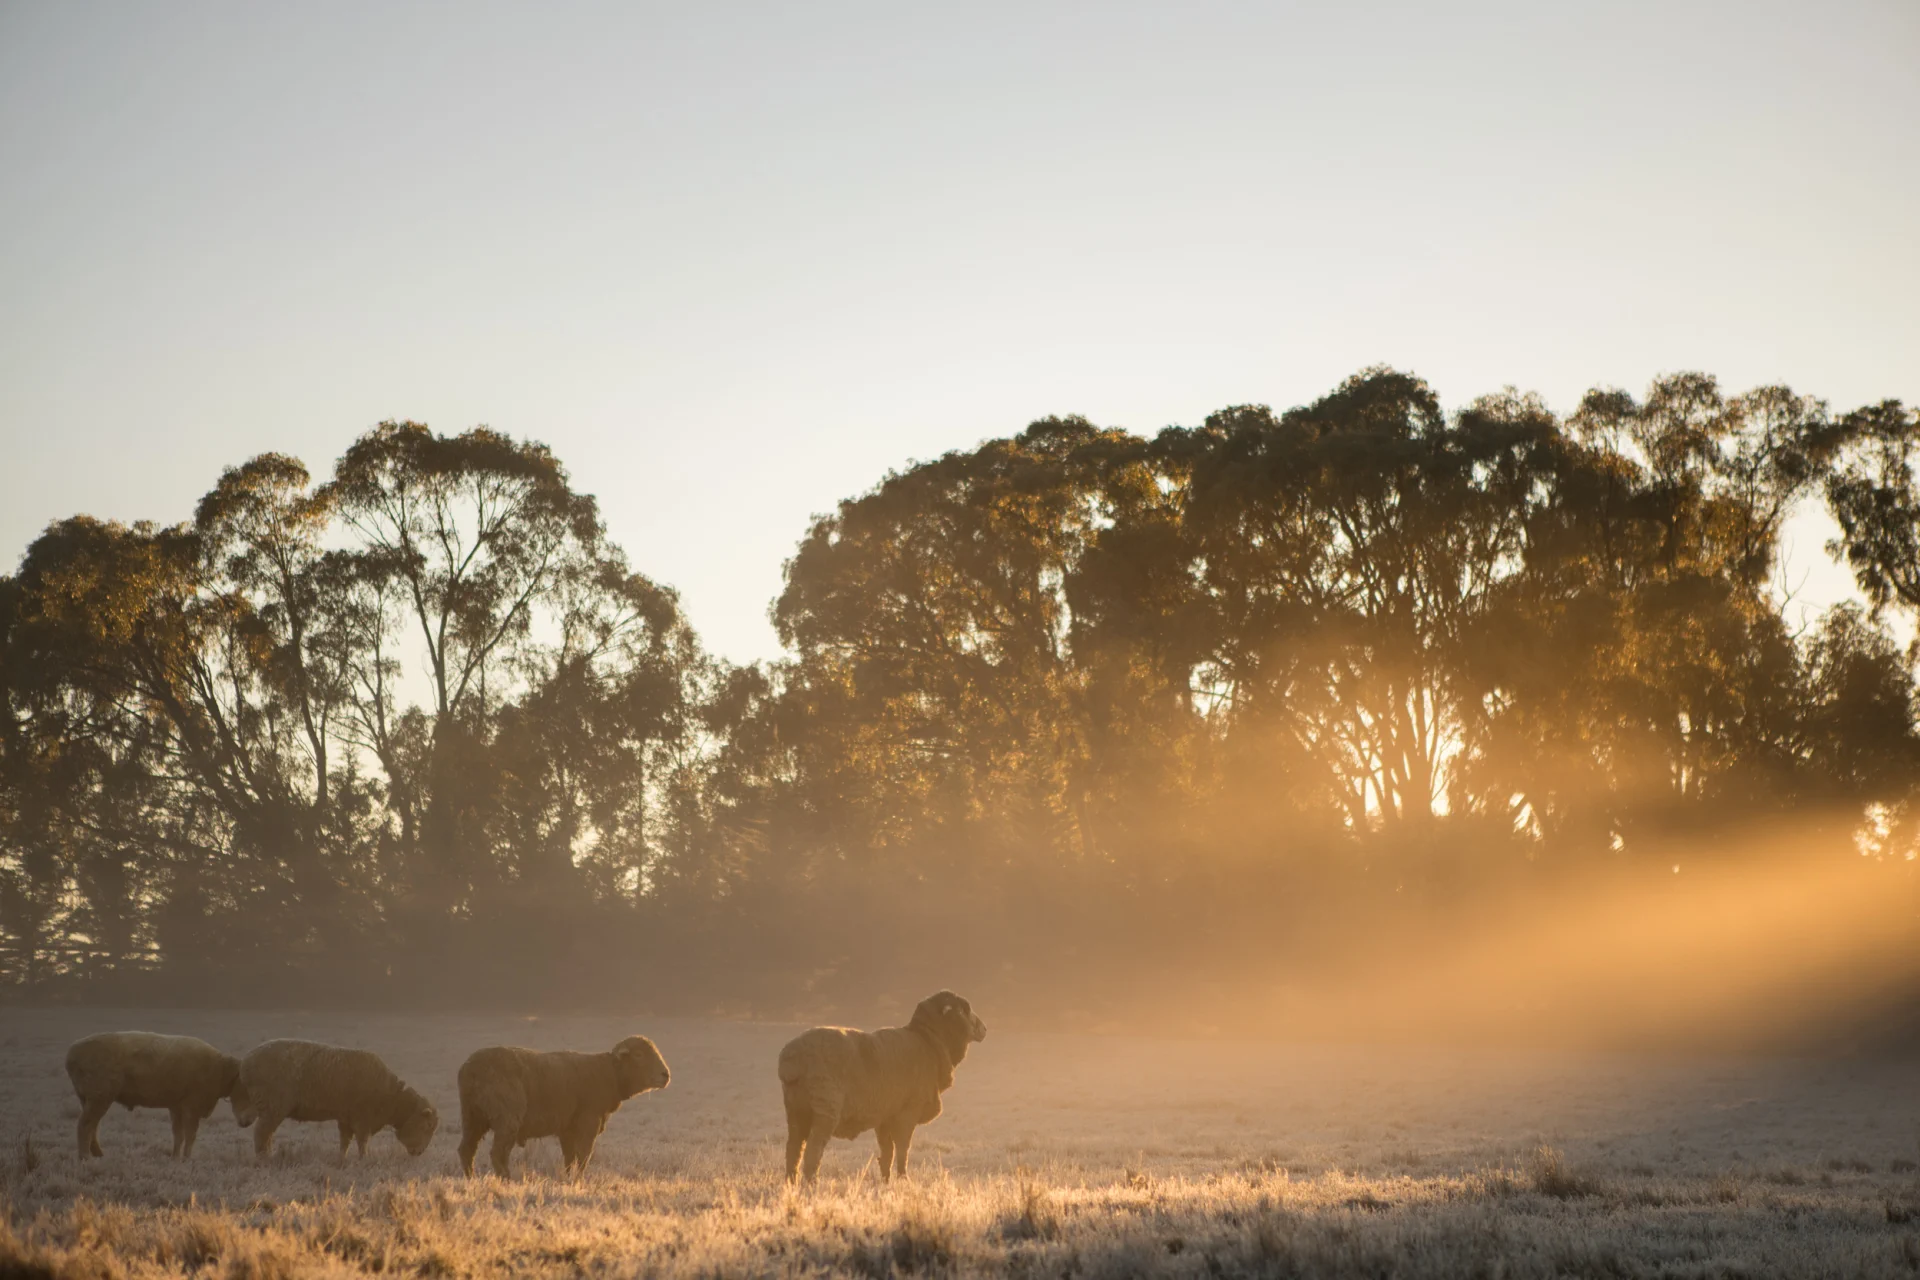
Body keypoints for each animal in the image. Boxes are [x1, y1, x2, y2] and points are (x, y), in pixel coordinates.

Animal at [65, 1031, 247, 1160]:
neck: (218, 1068)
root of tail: (72, 1052)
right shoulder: (191, 1108)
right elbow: (190, 1134)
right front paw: (187, 1158)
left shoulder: (176, 1107)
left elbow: (178, 1134)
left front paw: (175, 1157)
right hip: (99, 1099)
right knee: (85, 1125)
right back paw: (85, 1157)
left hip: (90, 1100)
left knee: (93, 1126)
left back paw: (99, 1155)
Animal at [234, 1039, 438, 1161]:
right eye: (427, 1126)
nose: (419, 1152)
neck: (391, 1097)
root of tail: (245, 1062)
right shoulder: (362, 1119)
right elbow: (362, 1140)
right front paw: (364, 1159)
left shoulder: (346, 1118)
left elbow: (345, 1140)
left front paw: (342, 1158)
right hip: (273, 1107)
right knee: (262, 1132)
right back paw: (264, 1158)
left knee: (265, 1133)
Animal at [456, 1035, 670, 1177]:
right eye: (639, 1054)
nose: (665, 1075)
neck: (609, 1073)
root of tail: (470, 1068)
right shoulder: (588, 1122)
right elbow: (583, 1156)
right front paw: (579, 1181)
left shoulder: (568, 1129)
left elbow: (570, 1158)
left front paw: (569, 1179)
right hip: (506, 1118)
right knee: (498, 1154)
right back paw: (507, 1181)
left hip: (472, 1117)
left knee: (466, 1150)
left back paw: (471, 1180)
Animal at [778, 990, 987, 1183]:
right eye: (964, 1009)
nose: (984, 1029)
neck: (929, 1042)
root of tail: (792, 1057)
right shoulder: (908, 1112)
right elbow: (903, 1149)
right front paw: (903, 1178)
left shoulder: (885, 1117)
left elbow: (888, 1152)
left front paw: (886, 1181)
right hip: (825, 1109)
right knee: (813, 1149)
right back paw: (811, 1183)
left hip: (795, 1110)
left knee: (793, 1149)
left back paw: (791, 1183)